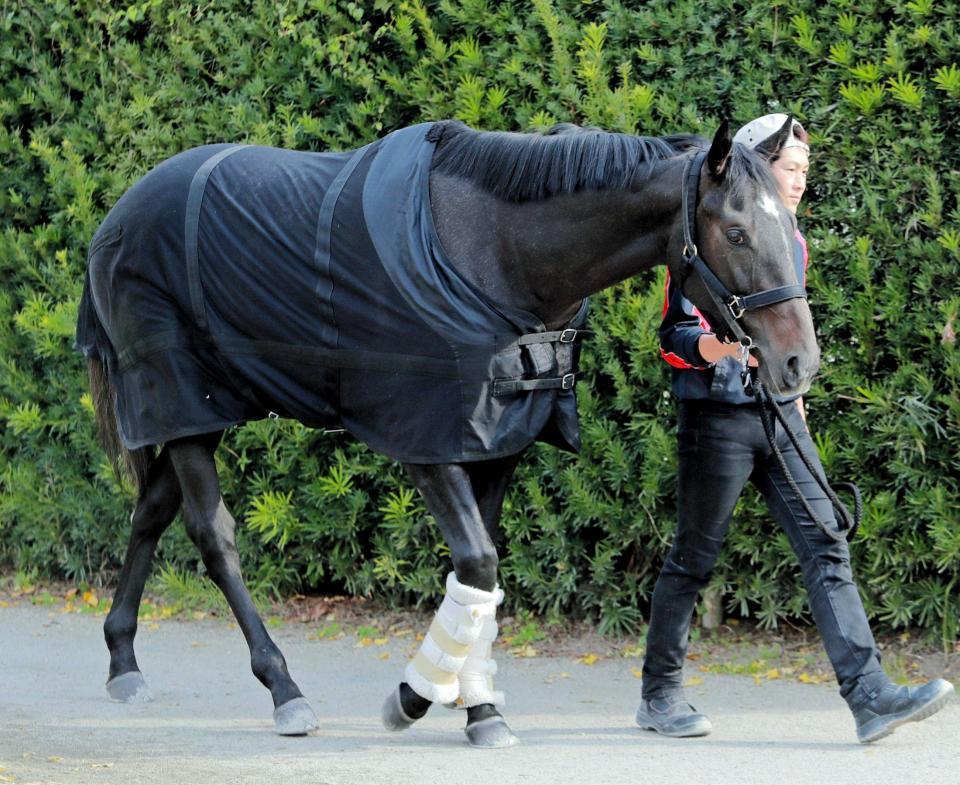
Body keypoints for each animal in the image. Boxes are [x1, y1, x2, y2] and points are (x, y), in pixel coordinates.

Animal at [75, 116, 816, 748]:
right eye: (738, 232)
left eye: (788, 223)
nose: (798, 362)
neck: (501, 253)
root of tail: (118, 215)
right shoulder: (425, 443)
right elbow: (478, 563)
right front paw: (414, 696)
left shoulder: (498, 442)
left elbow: (481, 569)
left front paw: (479, 707)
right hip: (180, 402)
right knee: (214, 535)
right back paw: (283, 688)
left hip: (204, 410)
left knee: (152, 510)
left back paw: (122, 662)